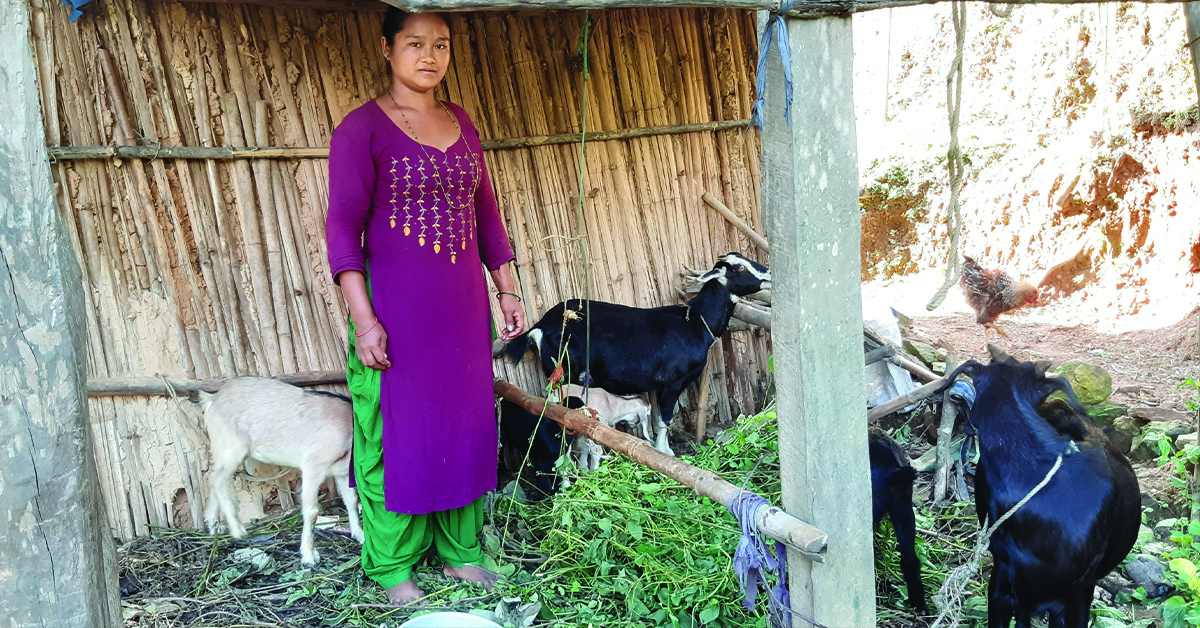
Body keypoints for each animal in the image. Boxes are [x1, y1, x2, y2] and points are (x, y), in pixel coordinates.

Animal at [199, 377, 360, 566]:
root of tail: (212, 399)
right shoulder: (313, 466)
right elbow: (312, 511)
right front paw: (309, 556)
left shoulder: (342, 472)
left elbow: (352, 501)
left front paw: (360, 536)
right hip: (231, 447)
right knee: (217, 478)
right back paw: (237, 530)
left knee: (214, 477)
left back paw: (214, 526)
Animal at [504, 253, 768, 453]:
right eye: (740, 267)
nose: (768, 274)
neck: (694, 321)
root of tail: (539, 326)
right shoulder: (672, 382)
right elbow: (664, 419)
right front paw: (665, 452)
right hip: (563, 371)